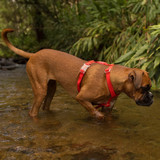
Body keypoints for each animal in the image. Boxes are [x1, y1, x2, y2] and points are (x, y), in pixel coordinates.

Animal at [1, 28, 153, 119]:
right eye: (144, 88)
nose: (151, 96)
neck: (109, 79)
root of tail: (34, 54)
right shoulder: (81, 98)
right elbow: (95, 112)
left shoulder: (108, 109)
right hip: (40, 90)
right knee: (33, 111)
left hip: (51, 89)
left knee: (46, 104)